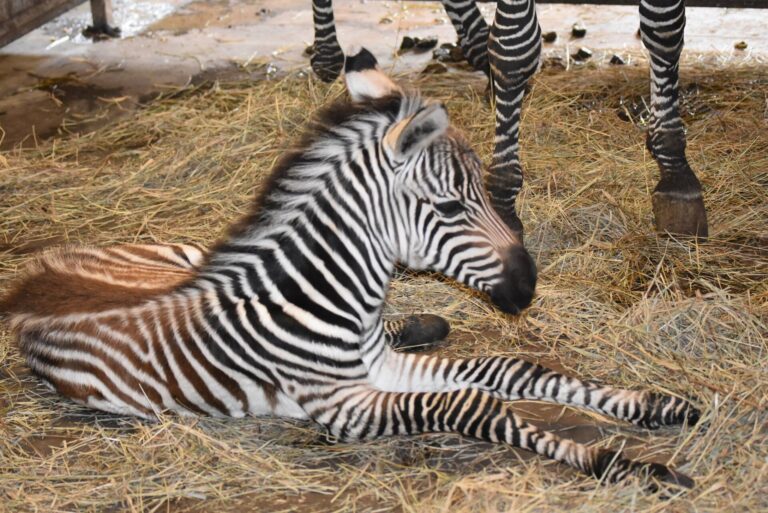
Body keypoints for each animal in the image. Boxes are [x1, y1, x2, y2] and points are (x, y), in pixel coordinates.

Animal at [0, 48, 700, 488]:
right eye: (451, 206)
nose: (529, 287)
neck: (328, 297)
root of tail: (34, 275)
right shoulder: (342, 405)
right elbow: (476, 404)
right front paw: (622, 465)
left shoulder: (378, 370)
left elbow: (514, 371)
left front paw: (650, 404)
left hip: (184, 254)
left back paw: (422, 323)